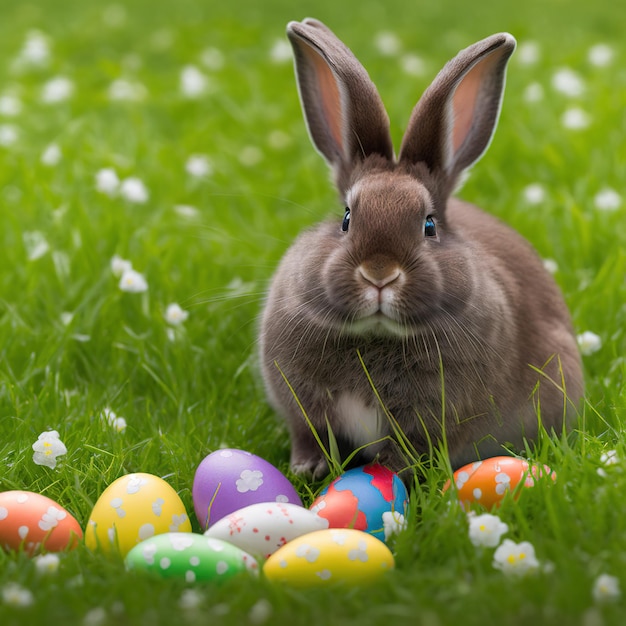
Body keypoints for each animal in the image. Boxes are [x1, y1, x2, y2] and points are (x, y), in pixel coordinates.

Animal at [258, 18, 580, 478]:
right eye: (346, 218)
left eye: (429, 225)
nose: (379, 273)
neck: (376, 335)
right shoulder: (304, 408)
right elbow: (311, 435)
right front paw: (310, 469)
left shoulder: (431, 421)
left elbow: (407, 454)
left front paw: (387, 478)